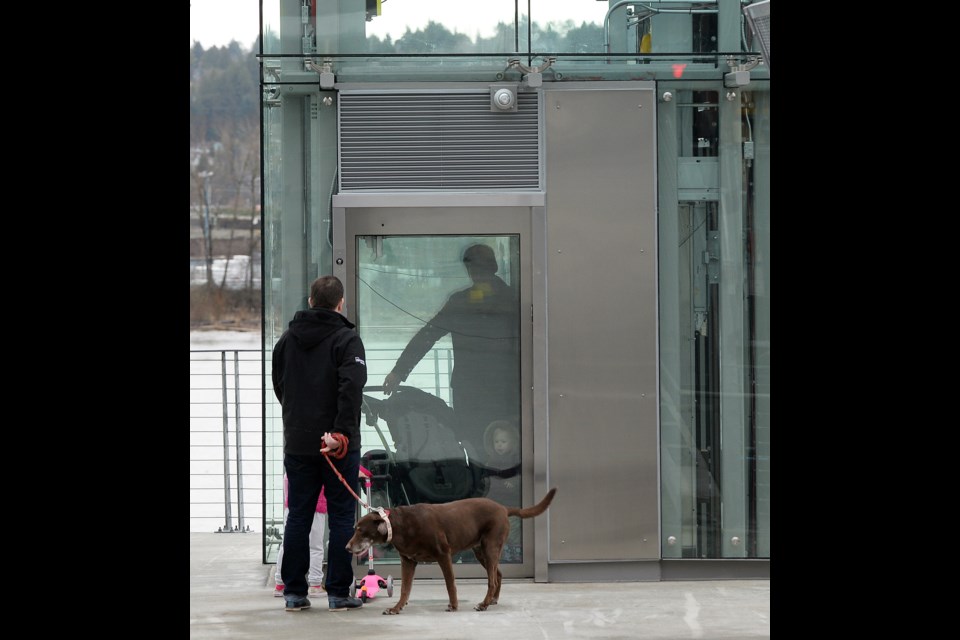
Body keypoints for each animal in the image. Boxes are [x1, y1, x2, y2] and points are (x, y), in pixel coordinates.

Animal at [344, 488, 556, 612]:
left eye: (360, 530)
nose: (346, 547)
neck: (399, 525)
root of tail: (504, 508)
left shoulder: (443, 555)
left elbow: (449, 584)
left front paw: (453, 605)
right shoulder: (408, 561)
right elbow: (405, 589)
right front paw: (396, 608)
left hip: (490, 547)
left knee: (492, 579)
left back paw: (484, 604)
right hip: (482, 551)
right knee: (498, 575)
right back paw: (492, 600)